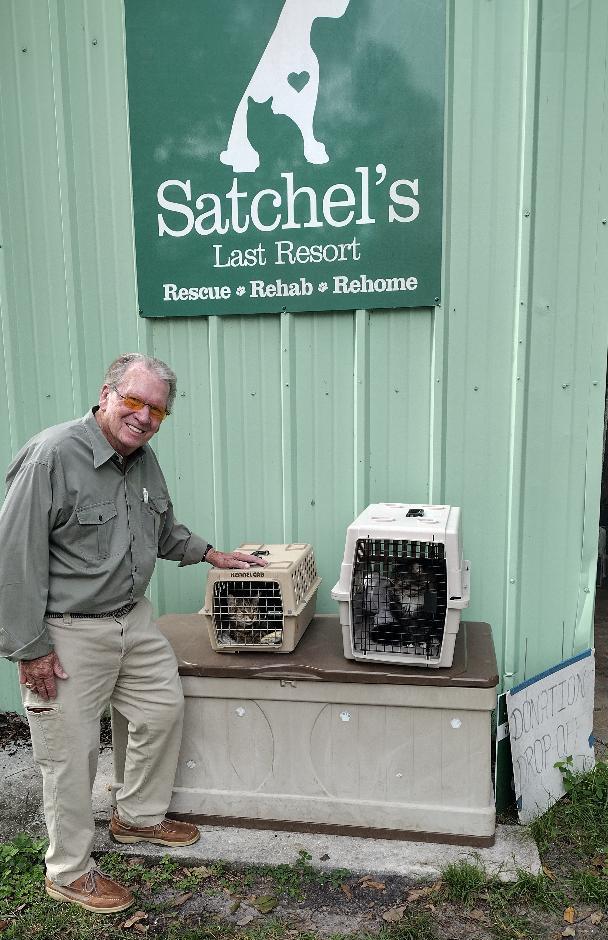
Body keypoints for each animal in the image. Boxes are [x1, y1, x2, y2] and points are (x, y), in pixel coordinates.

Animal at [332, 506, 470, 668]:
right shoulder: (402, 615)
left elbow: (423, 631)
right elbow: (410, 630)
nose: (394, 590)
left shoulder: (427, 616)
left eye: (403, 583)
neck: (412, 601)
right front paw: (411, 642)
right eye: (394, 582)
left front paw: (422, 643)